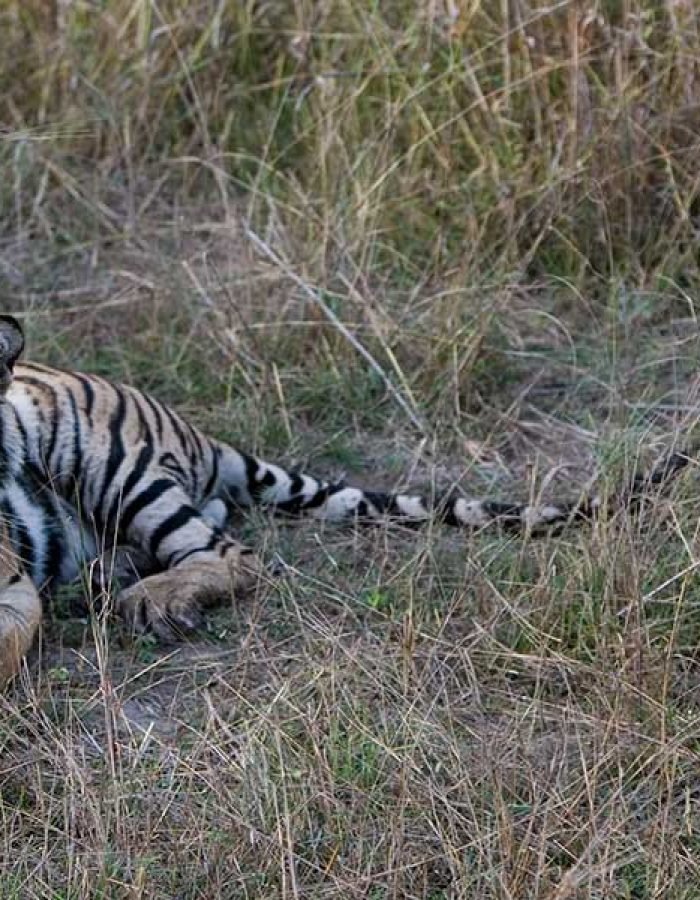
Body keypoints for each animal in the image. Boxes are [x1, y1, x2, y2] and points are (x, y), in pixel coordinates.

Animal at [0, 314, 691, 686]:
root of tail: (196, 430)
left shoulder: (17, 590)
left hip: (112, 467)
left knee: (231, 551)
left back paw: (149, 599)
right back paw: (107, 575)